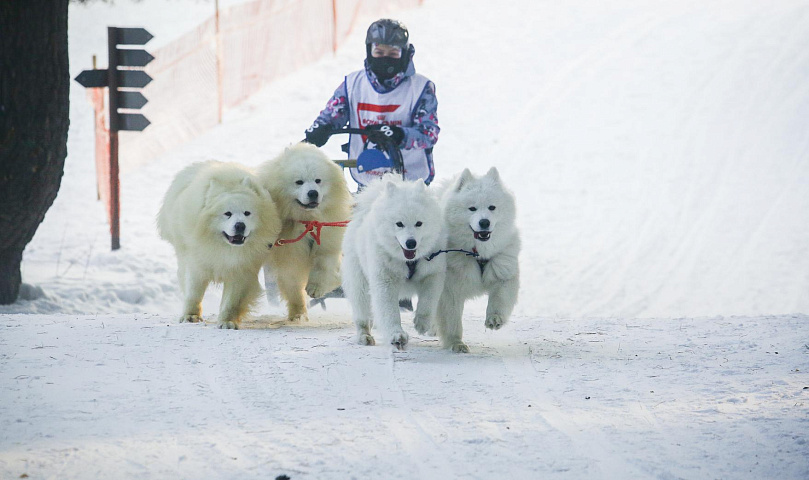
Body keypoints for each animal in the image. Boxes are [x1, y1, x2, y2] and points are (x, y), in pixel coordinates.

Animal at [157, 161, 280, 330]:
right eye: (227, 213)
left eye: (247, 213)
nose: (240, 225)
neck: (224, 248)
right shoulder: (197, 264)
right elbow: (193, 293)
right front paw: (190, 316)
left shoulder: (241, 269)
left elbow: (231, 301)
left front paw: (227, 321)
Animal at [256, 143, 350, 322]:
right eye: (299, 182)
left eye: (318, 181)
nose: (313, 193)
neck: (307, 221)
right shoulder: (288, 255)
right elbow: (292, 286)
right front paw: (298, 313)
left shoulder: (327, 239)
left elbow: (324, 264)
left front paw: (316, 288)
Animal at [338, 176, 446, 348]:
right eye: (399, 223)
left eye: (419, 223)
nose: (411, 243)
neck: (407, 260)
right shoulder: (384, 278)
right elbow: (389, 310)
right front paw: (397, 335)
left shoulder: (433, 272)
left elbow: (429, 299)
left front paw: (422, 323)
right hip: (359, 280)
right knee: (362, 312)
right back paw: (364, 336)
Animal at [432, 167, 520, 350]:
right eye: (472, 208)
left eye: (492, 207)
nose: (484, 222)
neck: (478, 253)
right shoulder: (450, 286)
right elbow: (452, 317)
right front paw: (456, 343)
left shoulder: (503, 267)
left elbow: (500, 296)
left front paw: (494, 318)